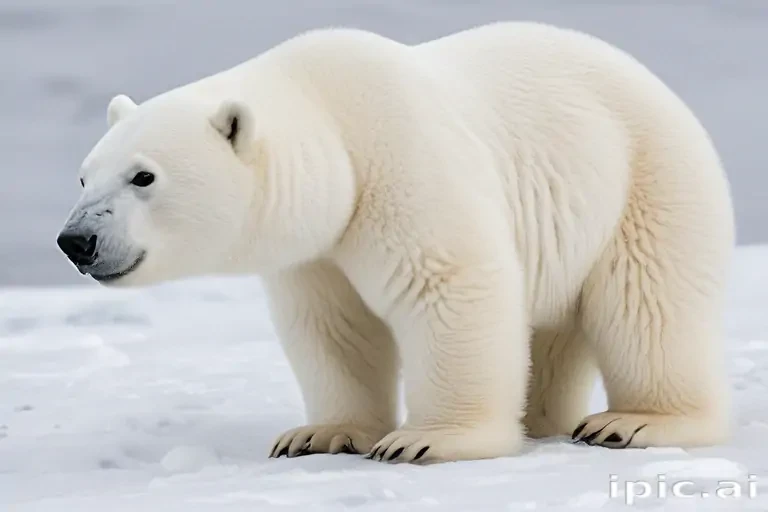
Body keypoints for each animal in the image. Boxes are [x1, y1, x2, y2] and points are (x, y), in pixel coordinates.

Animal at [56, 21, 734, 464]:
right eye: (85, 176)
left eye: (144, 177)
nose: (76, 240)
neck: (332, 122)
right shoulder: (317, 248)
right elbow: (332, 326)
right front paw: (319, 434)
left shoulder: (403, 164)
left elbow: (451, 286)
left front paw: (430, 437)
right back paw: (543, 418)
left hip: (646, 176)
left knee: (647, 304)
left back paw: (633, 422)